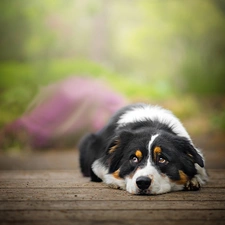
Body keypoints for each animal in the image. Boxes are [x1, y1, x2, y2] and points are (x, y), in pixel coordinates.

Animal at [78, 103, 207, 194]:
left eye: (162, 159)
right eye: (134, 158)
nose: (143, 182)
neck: (153, 124)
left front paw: (193, 180)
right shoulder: (96, 165)